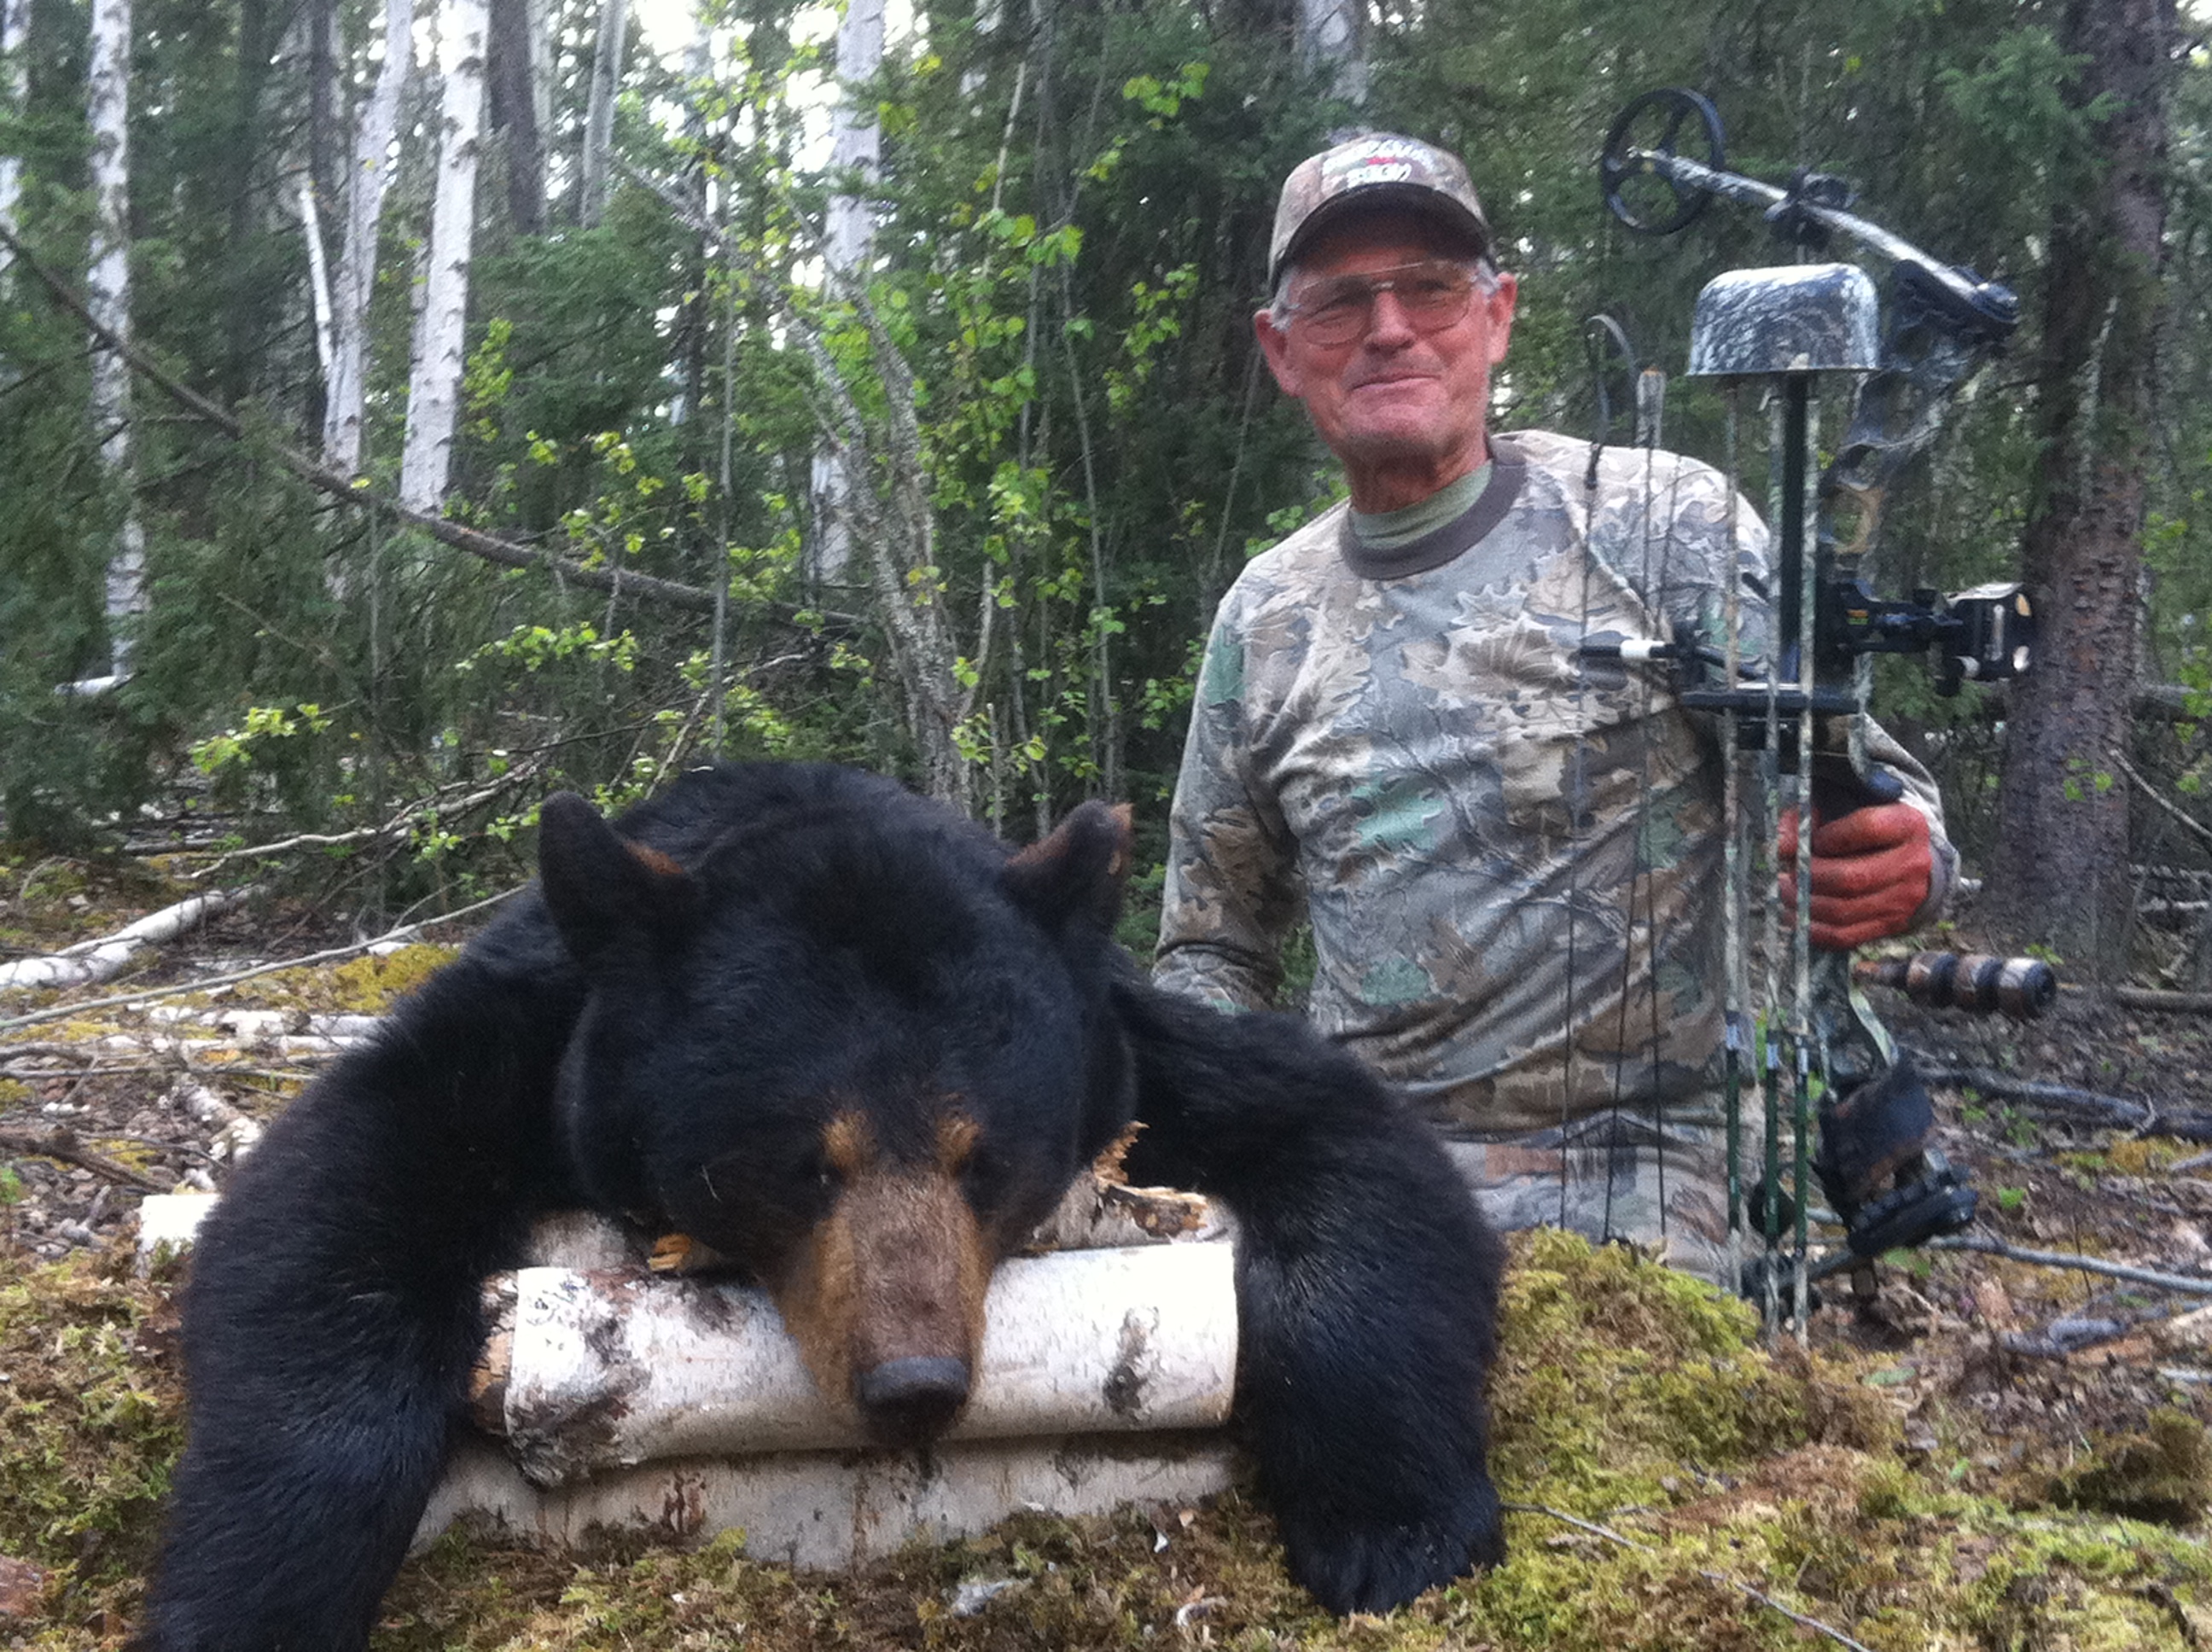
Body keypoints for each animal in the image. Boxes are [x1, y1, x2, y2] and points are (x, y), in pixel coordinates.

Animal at [138, 761, 1505, 1648]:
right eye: (806, 1160)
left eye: (982, 1157)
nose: (916, 1383)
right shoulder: (516, 1043)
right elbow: (326, 1209)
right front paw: (248, 1596)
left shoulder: (1128, 1048)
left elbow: (1360, 1149)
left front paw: (1399, 1531)